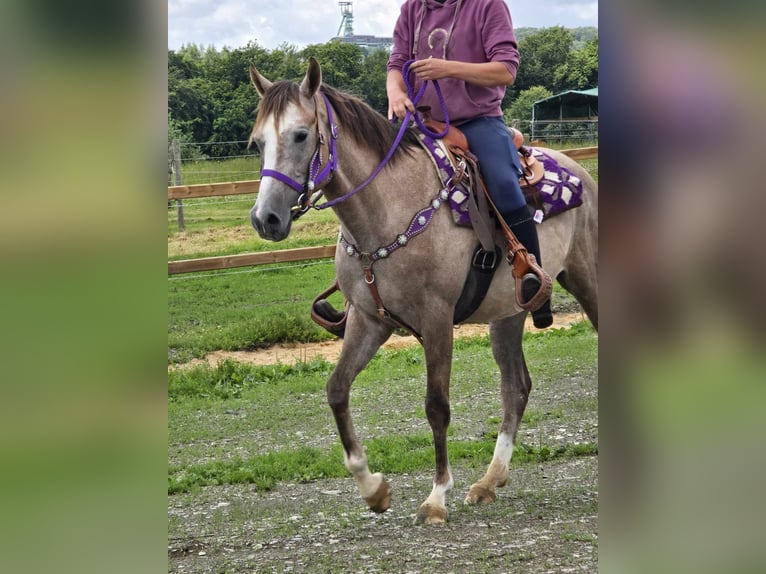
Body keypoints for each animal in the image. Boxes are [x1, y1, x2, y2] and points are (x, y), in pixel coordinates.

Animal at [249, 58, 596, 528]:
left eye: (301, 135)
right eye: (258, 142)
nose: (265, 218)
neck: (387, 210)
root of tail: (578, 170)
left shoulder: (436, 320)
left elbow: (436, 406)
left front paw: (436, 497)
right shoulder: (368, 320)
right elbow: (337, 390)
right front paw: (373, 488)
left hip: (587, 279)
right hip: (508, 314)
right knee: (516, 386)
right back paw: (490, 481)